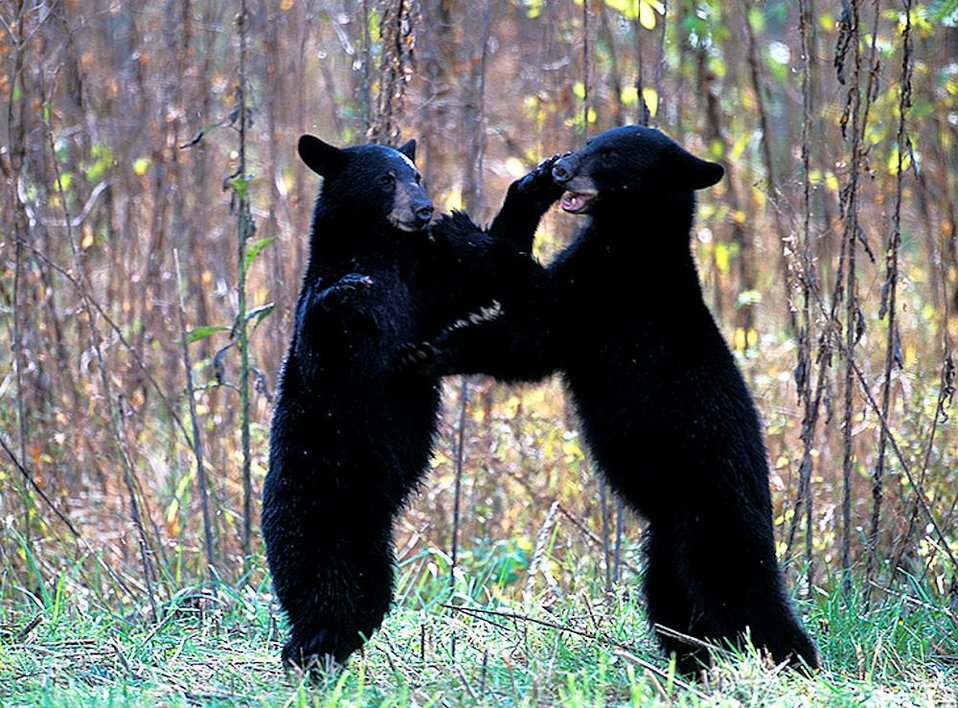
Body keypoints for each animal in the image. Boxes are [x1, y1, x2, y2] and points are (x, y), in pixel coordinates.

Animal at [262, 134, 559, 672]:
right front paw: (343, 293)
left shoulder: (423, 289)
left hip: (371, 547)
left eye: (415, 174)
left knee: (366, 599)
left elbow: (475, 276)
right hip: (313, 523)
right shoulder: (325, 334)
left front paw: (535, 182)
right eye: (385, 179)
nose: (423, 209)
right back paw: (307, 657)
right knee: (322, 594)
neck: (382, 255)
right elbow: (318, 344)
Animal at [403, 126, 820, 674]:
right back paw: (690, 664)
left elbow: (540, 313)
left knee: (744, 596)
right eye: (589, 142)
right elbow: (521, 345)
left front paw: (464, 232)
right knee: (675, 606)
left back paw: (797, 663)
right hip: (666, 542)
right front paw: (425, 353)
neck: (630, 241)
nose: (560, 170)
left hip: (713, 524)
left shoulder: (607, 297)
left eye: (611, 155)